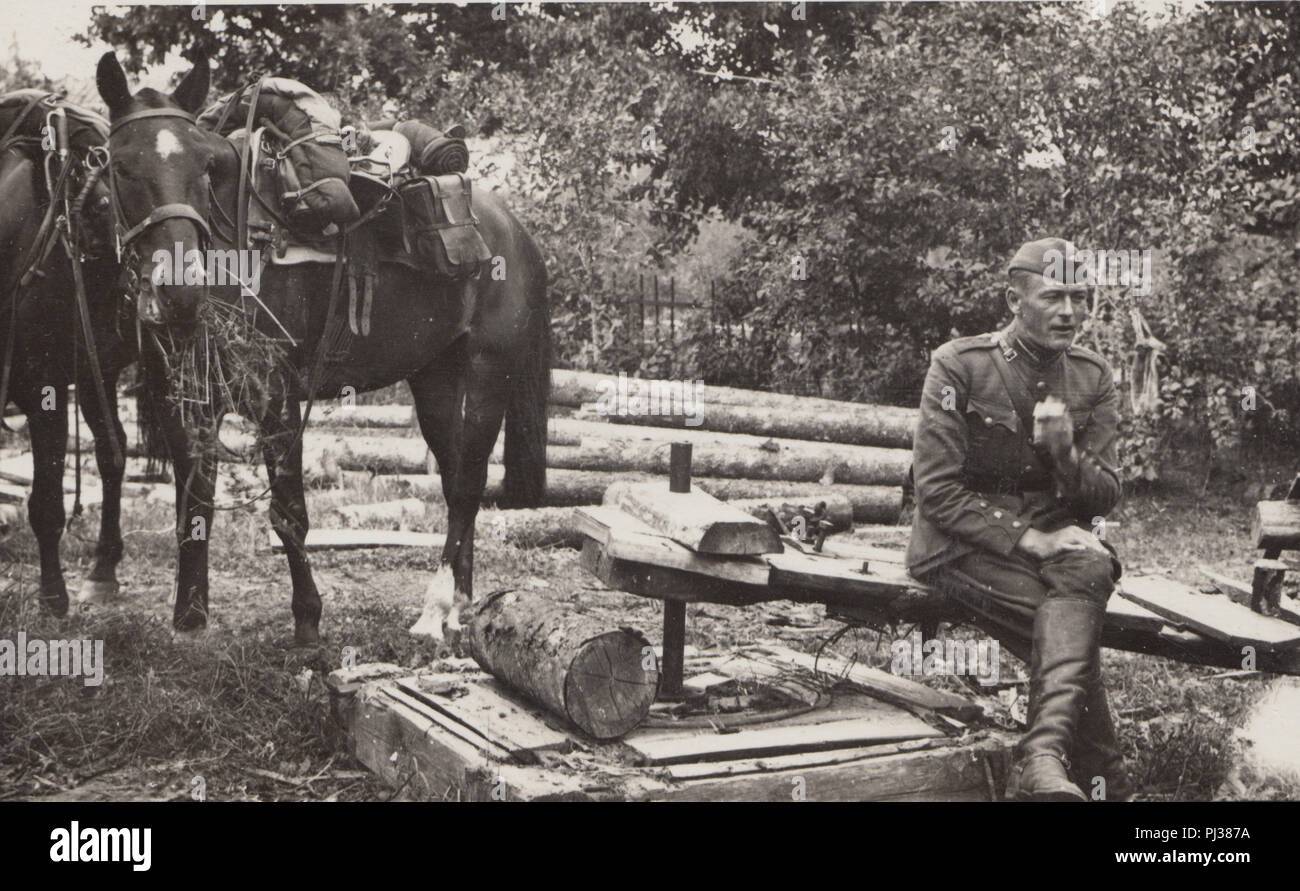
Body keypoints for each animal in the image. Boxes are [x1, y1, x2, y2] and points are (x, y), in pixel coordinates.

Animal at [96, 52, 551, 642]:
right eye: (120, 167)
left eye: (203, 167)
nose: (179, 289)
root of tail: (515, 234)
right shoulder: (186, 406)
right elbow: (194, 505)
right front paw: (189, 621)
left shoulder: (277, 399)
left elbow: (289, 512)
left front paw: (308, 622)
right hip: (436, 383)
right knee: (456, 486)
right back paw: (461, 607)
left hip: (486, 378)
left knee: (469, 485)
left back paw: (434, 612)